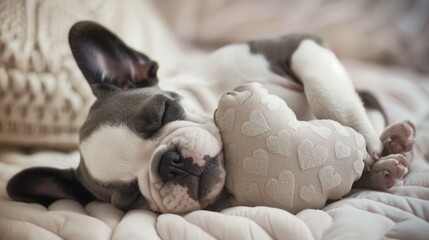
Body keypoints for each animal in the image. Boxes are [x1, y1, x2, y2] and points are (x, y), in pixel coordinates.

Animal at [5, 21, 412, 213]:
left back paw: (390, 139)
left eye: (163, 111)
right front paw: (373, 166)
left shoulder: (299, 46)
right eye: (129, 196)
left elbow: (327, 94)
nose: (169, 163)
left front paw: (368, 144)